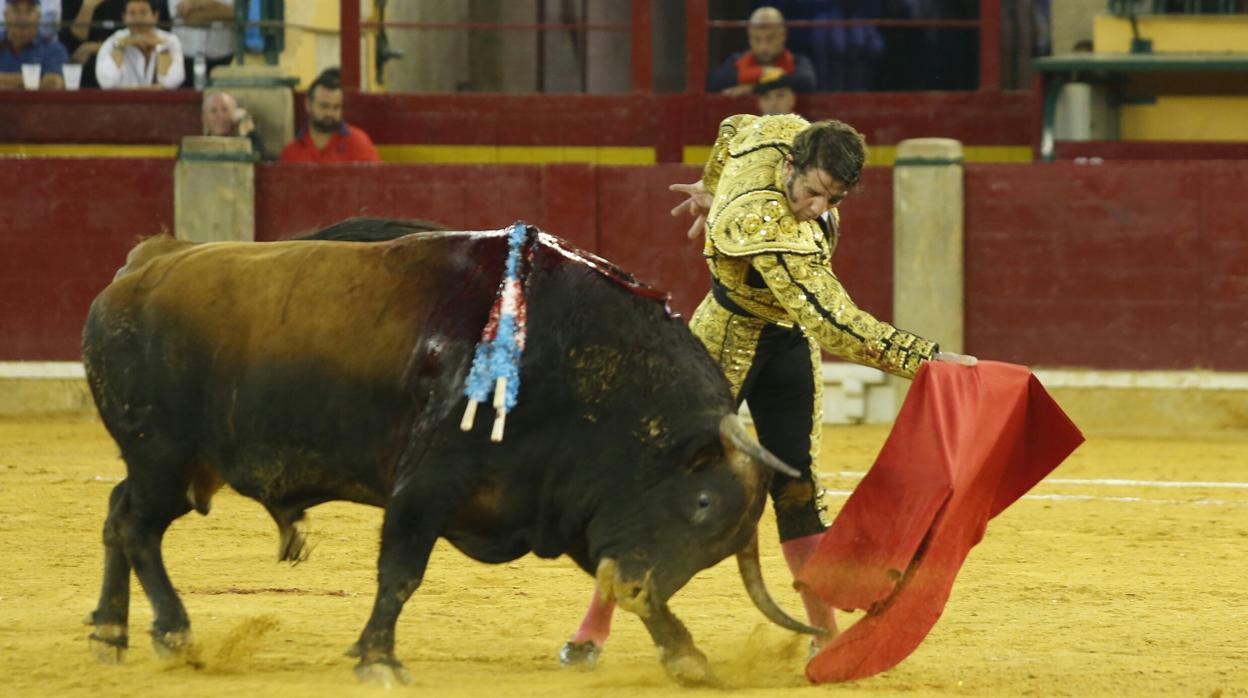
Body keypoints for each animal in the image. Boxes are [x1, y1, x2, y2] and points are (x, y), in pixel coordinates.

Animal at [80, 224, 818, 689]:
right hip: (164, 460)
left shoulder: (578, 510)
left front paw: (687, 657)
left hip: (169, 467)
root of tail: (142, 264)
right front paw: (378, 660)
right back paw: (172, 633)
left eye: (716, 548)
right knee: (138, 527)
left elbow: (626, 586)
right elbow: (401, 572)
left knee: (116, 516)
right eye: (700, 501)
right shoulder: (427, 484)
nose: (638, 586)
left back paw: (110, 633)